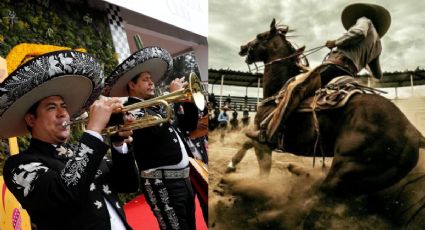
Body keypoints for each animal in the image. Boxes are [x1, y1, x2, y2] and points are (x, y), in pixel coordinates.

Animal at [227, 18, 424, 226]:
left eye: (260, 36)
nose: (243, 47)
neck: (277, 91)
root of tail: (413, 132)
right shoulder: (259, 136)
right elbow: (246, 143)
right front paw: (231, 166)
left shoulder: (264, 141)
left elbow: (262, 167)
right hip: (363, 180)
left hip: (346, 169)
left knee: (316, 194)